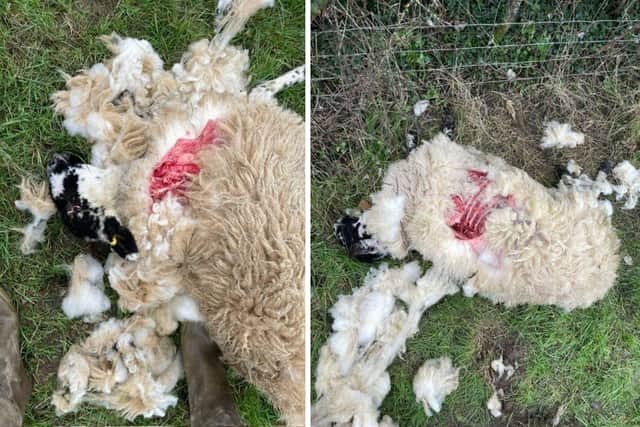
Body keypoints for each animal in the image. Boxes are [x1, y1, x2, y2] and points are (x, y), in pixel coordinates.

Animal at [335, 133, 620, 311]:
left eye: (356, 234)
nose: (337, 228)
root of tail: (609, 271)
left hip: (580, 212)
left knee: (588, 192)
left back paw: (580, 173)